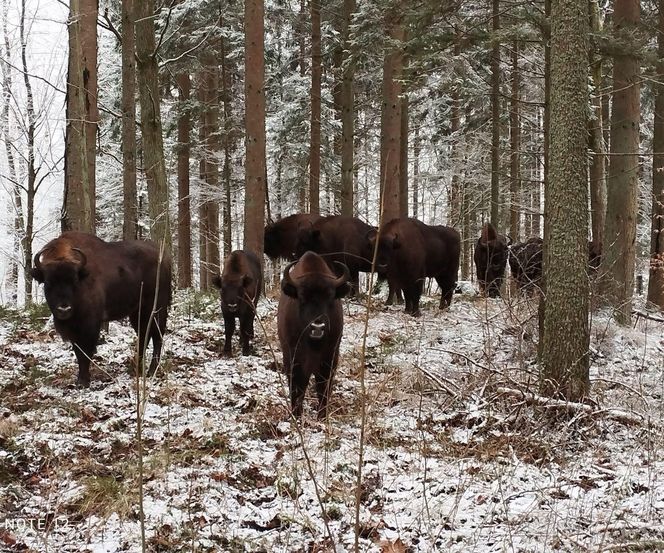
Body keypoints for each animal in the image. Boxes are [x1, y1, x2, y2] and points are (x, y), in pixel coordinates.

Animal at [30, 231, 171, 386]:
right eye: (48, 282)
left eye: (74, 281)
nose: (64, 309)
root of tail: (164, 258)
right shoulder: (74, 330)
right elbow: (78, 351)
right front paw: (80, 379)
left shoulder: (89, 325)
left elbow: (85, 352)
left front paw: (84, 381)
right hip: (137, 312)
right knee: (144, 335)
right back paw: (135, 369)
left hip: (157, 308)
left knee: (157, 336)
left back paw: (152, 371)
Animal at [276, 251, 350, 418]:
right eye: (302, 297)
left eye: (330, 297)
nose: (317, 326)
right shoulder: (294, 359)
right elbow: (297, 387)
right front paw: (296, 414)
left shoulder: (330, 358)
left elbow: (323, 387)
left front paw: (322, 415)